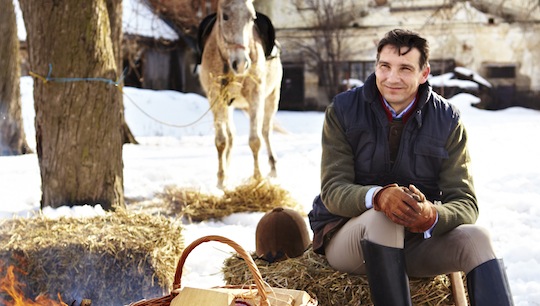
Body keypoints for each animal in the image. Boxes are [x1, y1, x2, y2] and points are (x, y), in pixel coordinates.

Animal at [197, 0, 282, 189]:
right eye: (225, 16)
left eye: (252, 17)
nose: (242, 63)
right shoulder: (215, 98)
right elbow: (221, 141)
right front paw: (221, 179)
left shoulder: (255, 96)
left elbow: (255, 140)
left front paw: (257, 178)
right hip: (228, 105)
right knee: (231, 136)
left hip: (272, 97)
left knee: (266, 131)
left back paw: (273, 168)